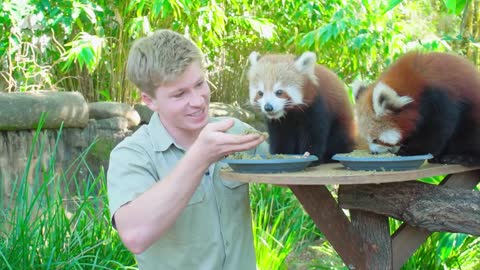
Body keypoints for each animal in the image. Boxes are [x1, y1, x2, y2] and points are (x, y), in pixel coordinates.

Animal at [352, 50, 480, 165]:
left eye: (376, 140)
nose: (374, 152)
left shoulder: (440, 99)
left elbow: (435, 131)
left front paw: (410, 151)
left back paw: (462, 157)